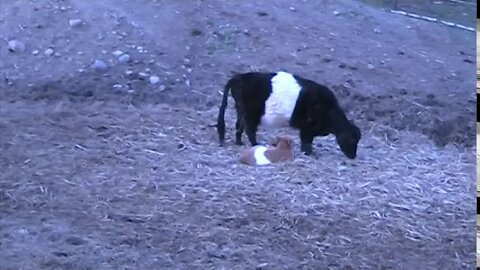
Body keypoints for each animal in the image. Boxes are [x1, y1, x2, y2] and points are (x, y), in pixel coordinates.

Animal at [216, 70, 362, 159]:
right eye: (352, 139)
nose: (353, 156)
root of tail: (238, 77)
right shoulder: (307, 127)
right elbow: (306, 141)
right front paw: (309, 153)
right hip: (251, 113)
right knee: (249, 129)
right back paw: (255, 144)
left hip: (241, 110)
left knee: (239, 125)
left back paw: (239, 142)